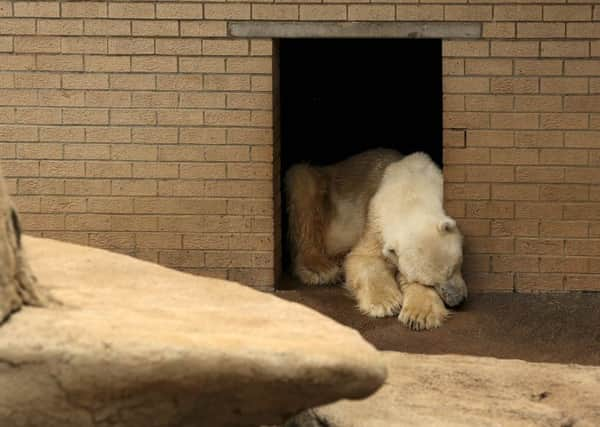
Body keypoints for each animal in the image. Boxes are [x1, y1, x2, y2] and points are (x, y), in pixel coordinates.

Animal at [284, 149, 466, 330]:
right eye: (430, 283)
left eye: (454, 267)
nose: (456, 300)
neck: (411, 190)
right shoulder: (375, 222)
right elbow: (365, 258)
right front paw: (386, 304)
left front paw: (419, 316)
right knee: (302, 183)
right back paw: (321, 269)